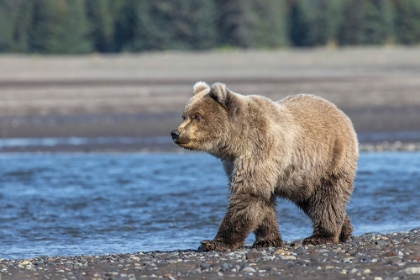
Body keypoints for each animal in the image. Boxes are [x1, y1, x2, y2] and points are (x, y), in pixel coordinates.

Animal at [170, 81, 358, 252]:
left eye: (197, 116)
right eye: (184, 115)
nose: (175, 133)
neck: (236, 141)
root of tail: (340, 112)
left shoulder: (260, 149)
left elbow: (248, 195)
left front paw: (214, 242)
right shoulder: (233, 163)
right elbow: (262, 201)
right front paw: (267, 240)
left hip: (330, 160)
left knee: (327, 198)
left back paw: (321, 236)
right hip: (300, 177)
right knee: (310, 199)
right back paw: (344, 229)